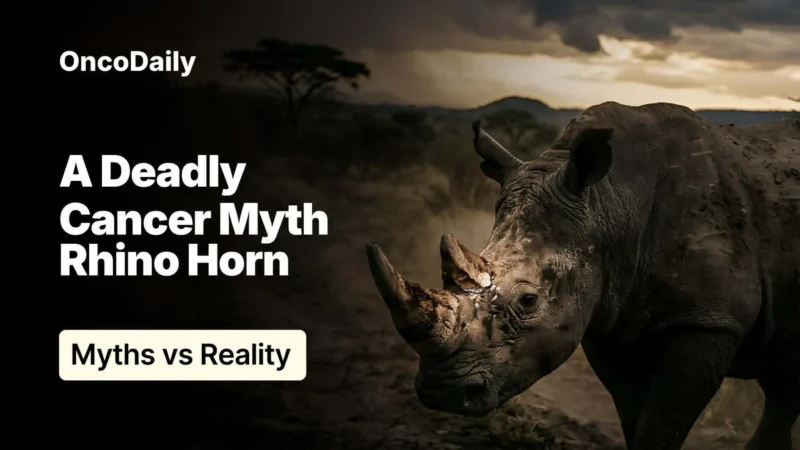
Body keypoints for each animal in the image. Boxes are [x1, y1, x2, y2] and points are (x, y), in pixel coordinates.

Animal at [366, 102, 799, 450]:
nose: (440, 392)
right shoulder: (611, 319)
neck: (609, 204)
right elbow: (634, 418)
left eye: (528, 301)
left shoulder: (710, 320)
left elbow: (662, 424)